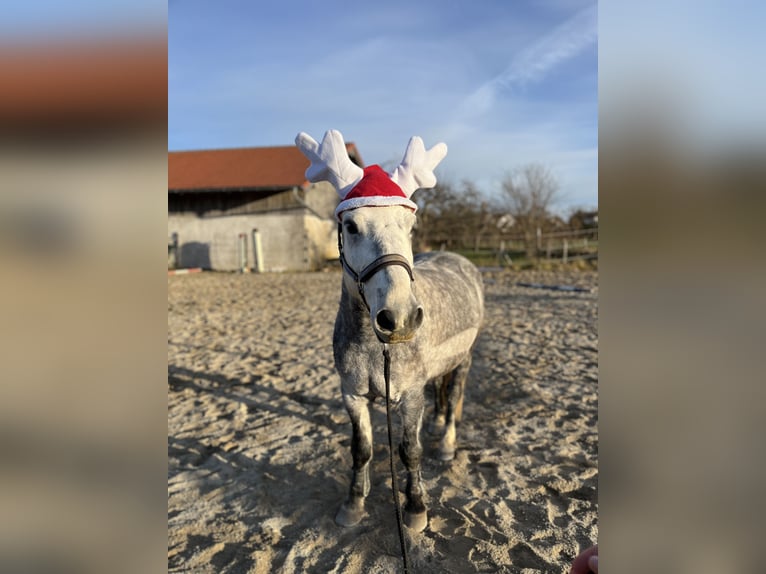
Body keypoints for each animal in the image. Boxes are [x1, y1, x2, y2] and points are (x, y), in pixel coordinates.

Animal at [296, 130, 484, 533]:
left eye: (410, 227)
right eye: (350, 226)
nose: (399, 318)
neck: (375, 345)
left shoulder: (410, 396)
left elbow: (409, 451)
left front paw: (415, 508)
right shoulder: (352, 394)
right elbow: (361, 449)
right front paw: (354, 502)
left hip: (464, 359)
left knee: (454, 394)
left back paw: (446, 443)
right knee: (441, 391)